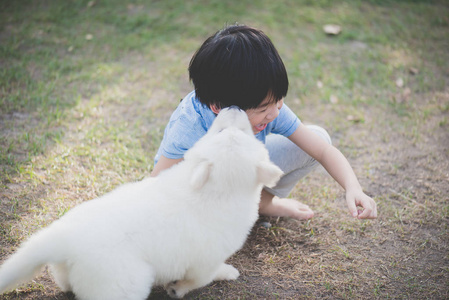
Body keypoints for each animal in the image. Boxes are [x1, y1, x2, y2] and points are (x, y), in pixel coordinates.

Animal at [0, 108, 280, 300]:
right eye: (223, 131)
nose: (234, 106)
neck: (213, 190)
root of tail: (63, 238)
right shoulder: (205, 262)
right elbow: (201, 279)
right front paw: (200, 281)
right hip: (124, 285)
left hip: (67, 271)